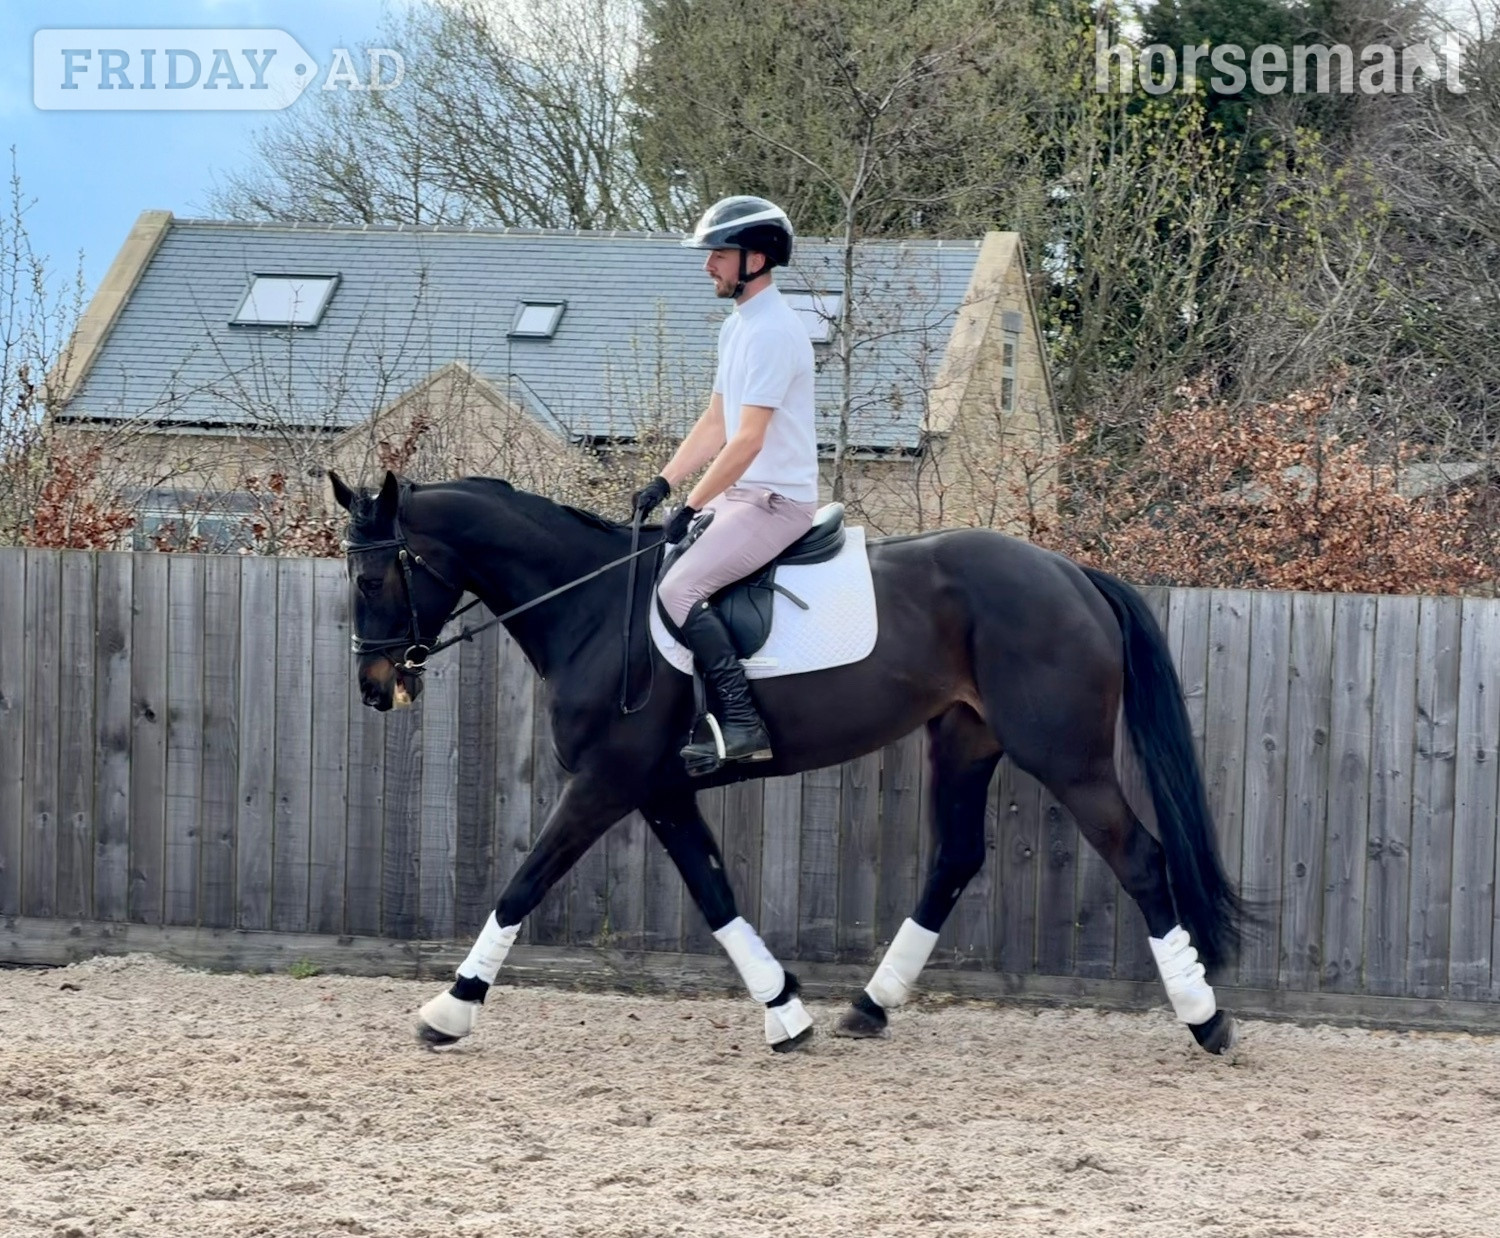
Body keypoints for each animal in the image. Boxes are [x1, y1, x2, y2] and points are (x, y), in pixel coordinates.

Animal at [330, 469, 1245, 1055]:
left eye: (373, 579)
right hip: (963, 739)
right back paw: (870, 1007)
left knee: (1141, 858)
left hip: (1065, 755)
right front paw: (784, 1010)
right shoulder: (660, 789)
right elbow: (716, 894)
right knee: (955, 859)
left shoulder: (605, 783)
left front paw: (451, 1008)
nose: (375, 687)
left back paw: (1206, 1019)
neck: (591, 607)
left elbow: (524, 883)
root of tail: (1072, 573)